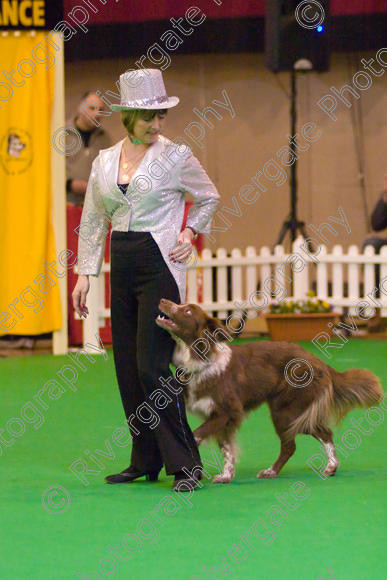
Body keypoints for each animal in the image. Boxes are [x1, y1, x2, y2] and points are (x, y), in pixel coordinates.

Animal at [156, 302, 384, 482]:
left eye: (187, 311)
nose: (163, 300)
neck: (200, 359)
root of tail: (320, 363)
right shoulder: (221, 418)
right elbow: (226, 448)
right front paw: (226, 476)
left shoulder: (227, 411)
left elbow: (195, 436)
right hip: (294, 412)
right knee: (323, 432)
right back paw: (330, 467)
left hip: (286, 411)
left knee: (292, 445)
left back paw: (272, 471)